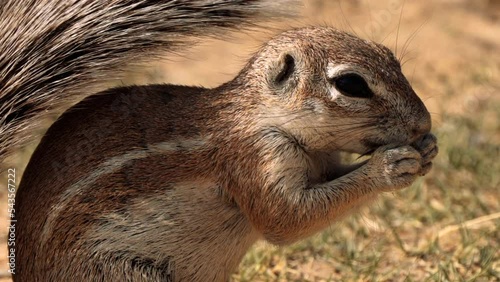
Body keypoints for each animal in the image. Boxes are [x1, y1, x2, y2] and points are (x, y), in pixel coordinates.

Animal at [0, 0, 438, 282]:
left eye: (389, 55)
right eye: (351, 84)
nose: (424, 122)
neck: (263, 115)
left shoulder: (322, 163)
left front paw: (429, 149)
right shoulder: (254, 158)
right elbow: (287, 220)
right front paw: (389, 167)